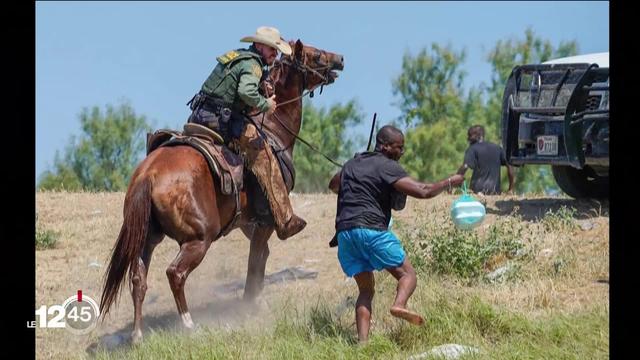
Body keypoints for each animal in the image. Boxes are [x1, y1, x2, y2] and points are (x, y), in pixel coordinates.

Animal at [99, 40, 344, 344]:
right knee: (175, 273)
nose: (340, 59)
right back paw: (188, 324)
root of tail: (148, 175)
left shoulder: (248, 223)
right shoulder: (265, 221)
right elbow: (255, 262)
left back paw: (137, 335)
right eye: (316, 55)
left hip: (148, 237)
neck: (273, 128)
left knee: (138, 279)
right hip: (199, 239)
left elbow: (261, 257)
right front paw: (250, 305)